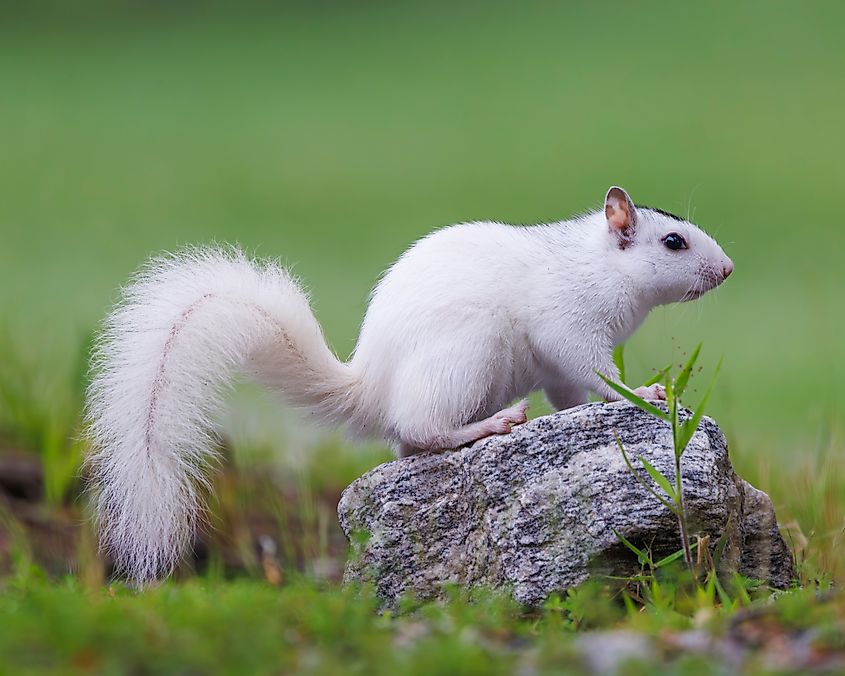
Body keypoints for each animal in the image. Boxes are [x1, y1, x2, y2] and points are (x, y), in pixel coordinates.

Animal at [85, 186, 733, 583]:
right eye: (673, 242)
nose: (727, 269)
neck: (601, 268)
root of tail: (372, 386)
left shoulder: (557, 368)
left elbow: (572, 394)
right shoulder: (570, 326)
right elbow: (597, 373)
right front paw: (646, 394)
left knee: (407, 444)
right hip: (465, 356)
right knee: (421, 432)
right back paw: (490, 425)